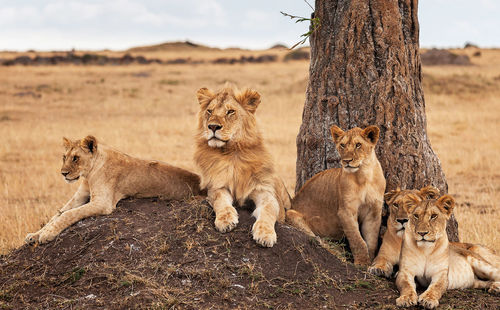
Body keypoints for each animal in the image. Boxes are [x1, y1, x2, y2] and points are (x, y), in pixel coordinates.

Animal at [25, 136, 203, 245]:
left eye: (76, 158)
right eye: (64, 157)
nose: (63, 173)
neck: (88, 175)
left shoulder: (102, 203)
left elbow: (68, 214)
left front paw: (47, 234)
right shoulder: (80, 196)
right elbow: (57, 214)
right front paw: (35, 234)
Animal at [193, 84, 292, 247]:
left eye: (230, 111)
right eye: (210, 111)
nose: (212, 126)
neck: (232, 152)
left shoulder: (264, 191)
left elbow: (269, 209)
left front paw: (265, 234)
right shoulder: (217, 186)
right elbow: (220, 201)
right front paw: (225, 221)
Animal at [284, 124, 384, 266]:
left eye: (358, 145)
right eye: (342, 145)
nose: (346, 161)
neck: (364, 176)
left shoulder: (374, 211)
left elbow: (372, 241)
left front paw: (370, 262)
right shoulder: (345, 211)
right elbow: (357, 240)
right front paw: (362, 263)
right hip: (291, 214)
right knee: (319, 241)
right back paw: (338, 252)